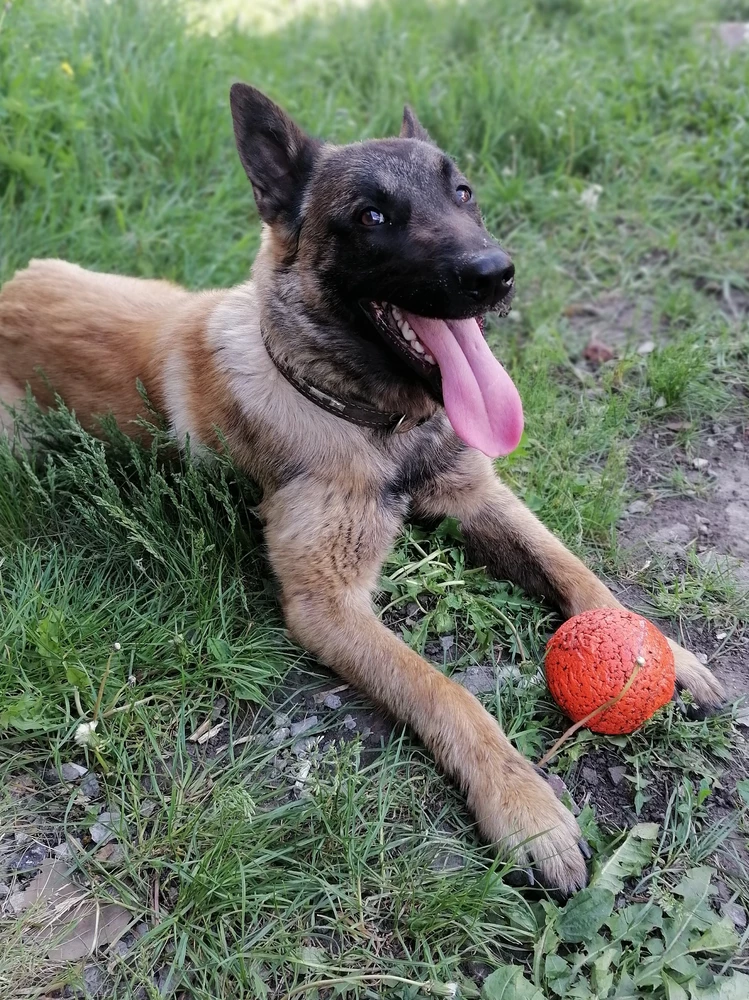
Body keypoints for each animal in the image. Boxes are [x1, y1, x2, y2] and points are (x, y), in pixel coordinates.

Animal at [0, 80, 724, 892]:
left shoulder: (478, 496)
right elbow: (446, 690)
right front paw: (523, 804)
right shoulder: (327, 605)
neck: (376, 424)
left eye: (463, 193)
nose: (495, 274)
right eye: (372, 215)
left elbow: (574, 569)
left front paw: (665, 653)